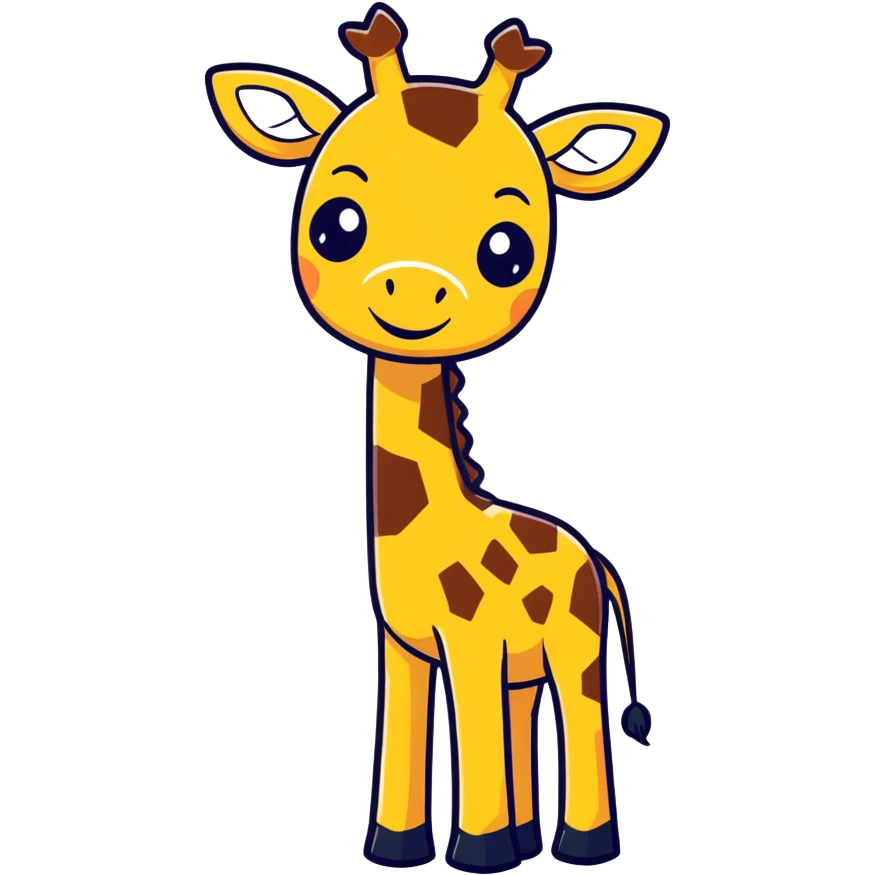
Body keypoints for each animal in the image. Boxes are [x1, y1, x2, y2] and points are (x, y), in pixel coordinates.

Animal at [204, 5, 667, 872]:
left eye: (507, 249)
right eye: (336, 226)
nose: (415, 290)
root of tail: (595, 558)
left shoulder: (472, 641)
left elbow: (473, 730)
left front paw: (477, 854)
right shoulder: (403, 644)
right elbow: (404, 731)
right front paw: (397, 847)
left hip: (573, 647)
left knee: (578, 712)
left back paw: (580, 846)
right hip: (526, 663)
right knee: (523, 715)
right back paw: (530, 840)